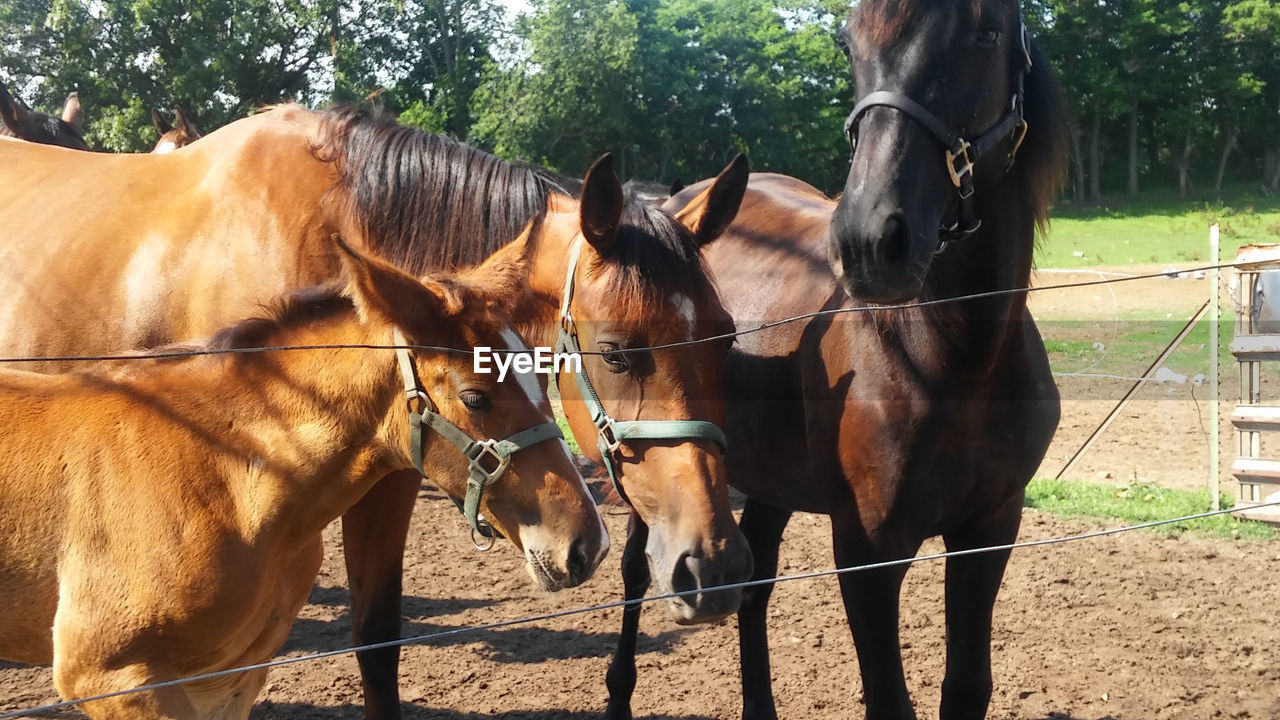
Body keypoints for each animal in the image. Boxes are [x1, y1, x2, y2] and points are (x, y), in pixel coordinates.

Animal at [0, 99, 747, 712]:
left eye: (727, 337)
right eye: (617, 352)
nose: (714, 565)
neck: (330, 222)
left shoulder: (389, 476)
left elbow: (379, 640)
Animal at [609, 1, 1070, 717]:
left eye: (986, 32)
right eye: (849, 44)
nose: (867, 239)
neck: (952, 361)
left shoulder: (990, 531)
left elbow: (967, 687)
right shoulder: (867, 555)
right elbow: (888, 700)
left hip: (768, 479)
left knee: (754, 588)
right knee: (638, 572)